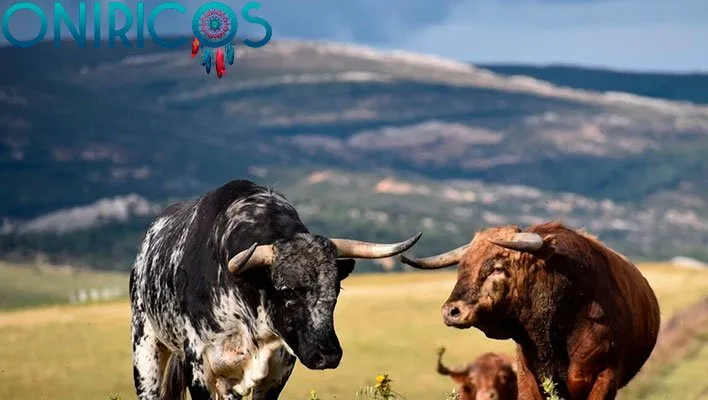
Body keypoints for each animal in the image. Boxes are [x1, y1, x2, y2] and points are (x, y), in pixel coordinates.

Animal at [129, 179, 422, 400]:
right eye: (286, 291)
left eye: (335, 290)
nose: (327, 355)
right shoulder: (200, 368)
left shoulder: (278, 371)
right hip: (145, 350)